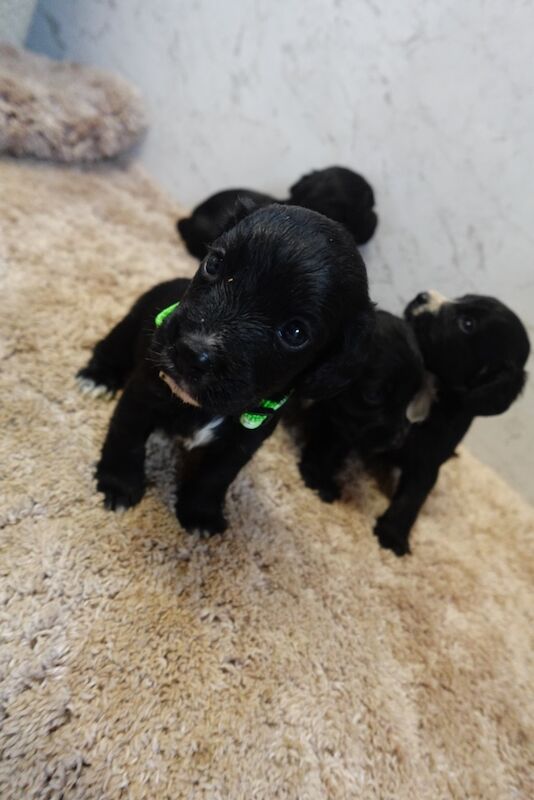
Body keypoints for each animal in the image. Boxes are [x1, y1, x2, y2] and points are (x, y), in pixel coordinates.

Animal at [78, 203, 376, 536]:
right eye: (214, 263)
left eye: (295, 333)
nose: (190, 352)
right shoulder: (144, 393)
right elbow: (126, 438)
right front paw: (118, 485)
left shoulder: (243, 440)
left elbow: (216, 476)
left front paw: (200, 514)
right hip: (131, 324)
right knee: (111, 347)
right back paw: (97, 378)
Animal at [300, 310, 430, 504]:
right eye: (373, 394)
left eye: (410, 398)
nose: (397, 441)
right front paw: (317, 479)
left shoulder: (343, 425)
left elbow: (331, 447)